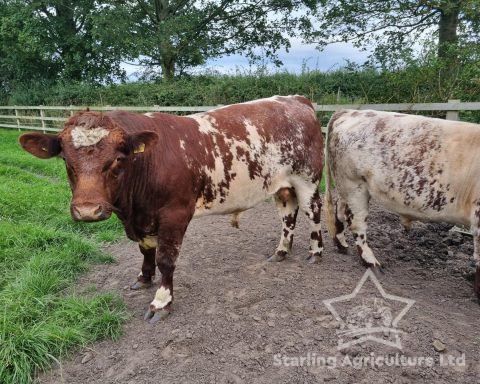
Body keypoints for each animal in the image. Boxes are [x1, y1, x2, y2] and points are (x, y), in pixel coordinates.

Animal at [20, 95, 324, 320]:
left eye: (117, 159)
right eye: (65, 159)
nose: (87, 210)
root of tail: (295, 99)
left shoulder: (174, 214)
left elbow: (165, 259)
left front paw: (161, 302)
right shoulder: (142, 219)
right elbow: (146, 250)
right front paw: (144, 278)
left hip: (307, 179)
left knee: (314, 213)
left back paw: (315, 252)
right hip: (282, 186)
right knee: (288, 215)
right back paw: (281, 251)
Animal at [324, 109, 480, 298]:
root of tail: (351, 111)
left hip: (347, 188)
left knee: (340, 212)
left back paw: (342, 245)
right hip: (354, 185)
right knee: (357, 224)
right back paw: (371, 262)